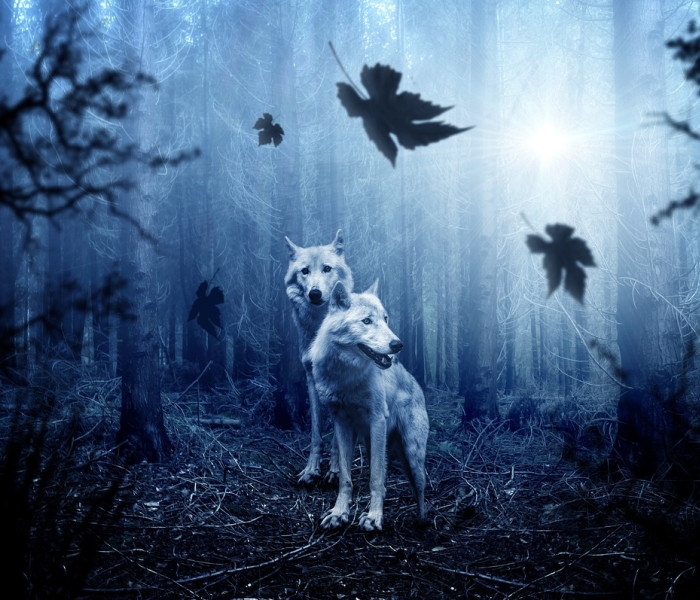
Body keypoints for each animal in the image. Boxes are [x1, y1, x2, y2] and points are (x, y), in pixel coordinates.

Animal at [284, 230, 354, 484]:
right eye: (305, 271)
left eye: (326, 268)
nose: (315, 293)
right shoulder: (311, 379)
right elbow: (316, 431)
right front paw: (311, 470)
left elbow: (337, 436)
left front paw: (335, 471)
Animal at [309, 281, 429, 531]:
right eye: (366, 321)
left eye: (386, 319)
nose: (398, 344)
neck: (346, 377)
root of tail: (416, 384)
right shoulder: (341, 424)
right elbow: (346, 478)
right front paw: (339, 513)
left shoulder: (377, 420)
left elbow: (375, 478)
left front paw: (374, 517)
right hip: (374, 444)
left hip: (411, 452)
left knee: (420, 487)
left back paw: (422, 522)